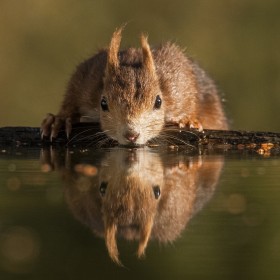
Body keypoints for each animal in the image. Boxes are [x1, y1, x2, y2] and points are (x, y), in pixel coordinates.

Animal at [41, 27, 228, 145]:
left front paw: (188, 120)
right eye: (103, 103)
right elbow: (71, 96)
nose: (131, 135)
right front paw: (60, 119)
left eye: (158, 102)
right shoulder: (87, 79)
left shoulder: (179, 80)